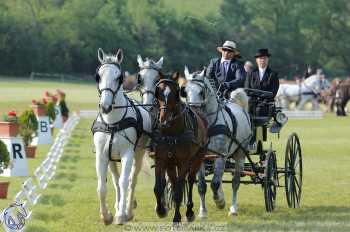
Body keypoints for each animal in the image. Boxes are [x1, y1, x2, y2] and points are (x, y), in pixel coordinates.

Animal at [91, 47, 151, 225]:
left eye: (119, 77)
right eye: (98, 76)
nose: (105, 107)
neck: (112, 123)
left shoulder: (127, 155)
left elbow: (125, 182)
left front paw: (121, 215)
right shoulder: (102, 156)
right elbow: (102, 187)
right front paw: (106, 215)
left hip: (138, 155)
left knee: (132, 180)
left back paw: (128, 210)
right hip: (112, 159)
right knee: (116, 181)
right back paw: (119, 206)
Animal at [153, 72, 208, 223]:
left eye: (174, 93)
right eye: (158, 92)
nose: (163, 121)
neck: (171, 131)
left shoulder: (184, 162)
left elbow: (178, 191)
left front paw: (177, 218)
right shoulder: (161, 160)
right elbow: (159, 187)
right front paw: (161, 211)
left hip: (198, 157)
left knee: (190, 180)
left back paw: (189, 211)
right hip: (171, 164)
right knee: (174, 181)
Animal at [180, 67, 252, 218]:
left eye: (201, 92)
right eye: (185, 91)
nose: (194, 110)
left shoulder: (220, 156)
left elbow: (215, 183)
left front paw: (220, 202)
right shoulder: (200, 158)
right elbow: (202, 185)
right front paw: (202, 212)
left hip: (240, 153)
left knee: (235, 182)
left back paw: (233, 208)